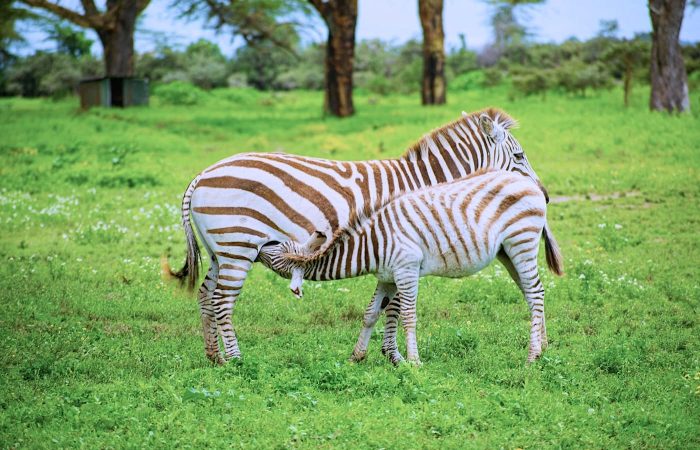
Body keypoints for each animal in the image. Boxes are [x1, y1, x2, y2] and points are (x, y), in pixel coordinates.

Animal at [262, 171, 564, 364]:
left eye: (275, 257)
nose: (262, 242)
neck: (372, 244)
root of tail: (529, 182)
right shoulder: (387, 277)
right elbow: (371, 314)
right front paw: (356, 356)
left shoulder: (406, 271)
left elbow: (407, 315)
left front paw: (414, 362)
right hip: (507, 253)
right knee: (532, 296)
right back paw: (543, 348)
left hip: (521, 242)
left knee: (535, 292)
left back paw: (531, 357)